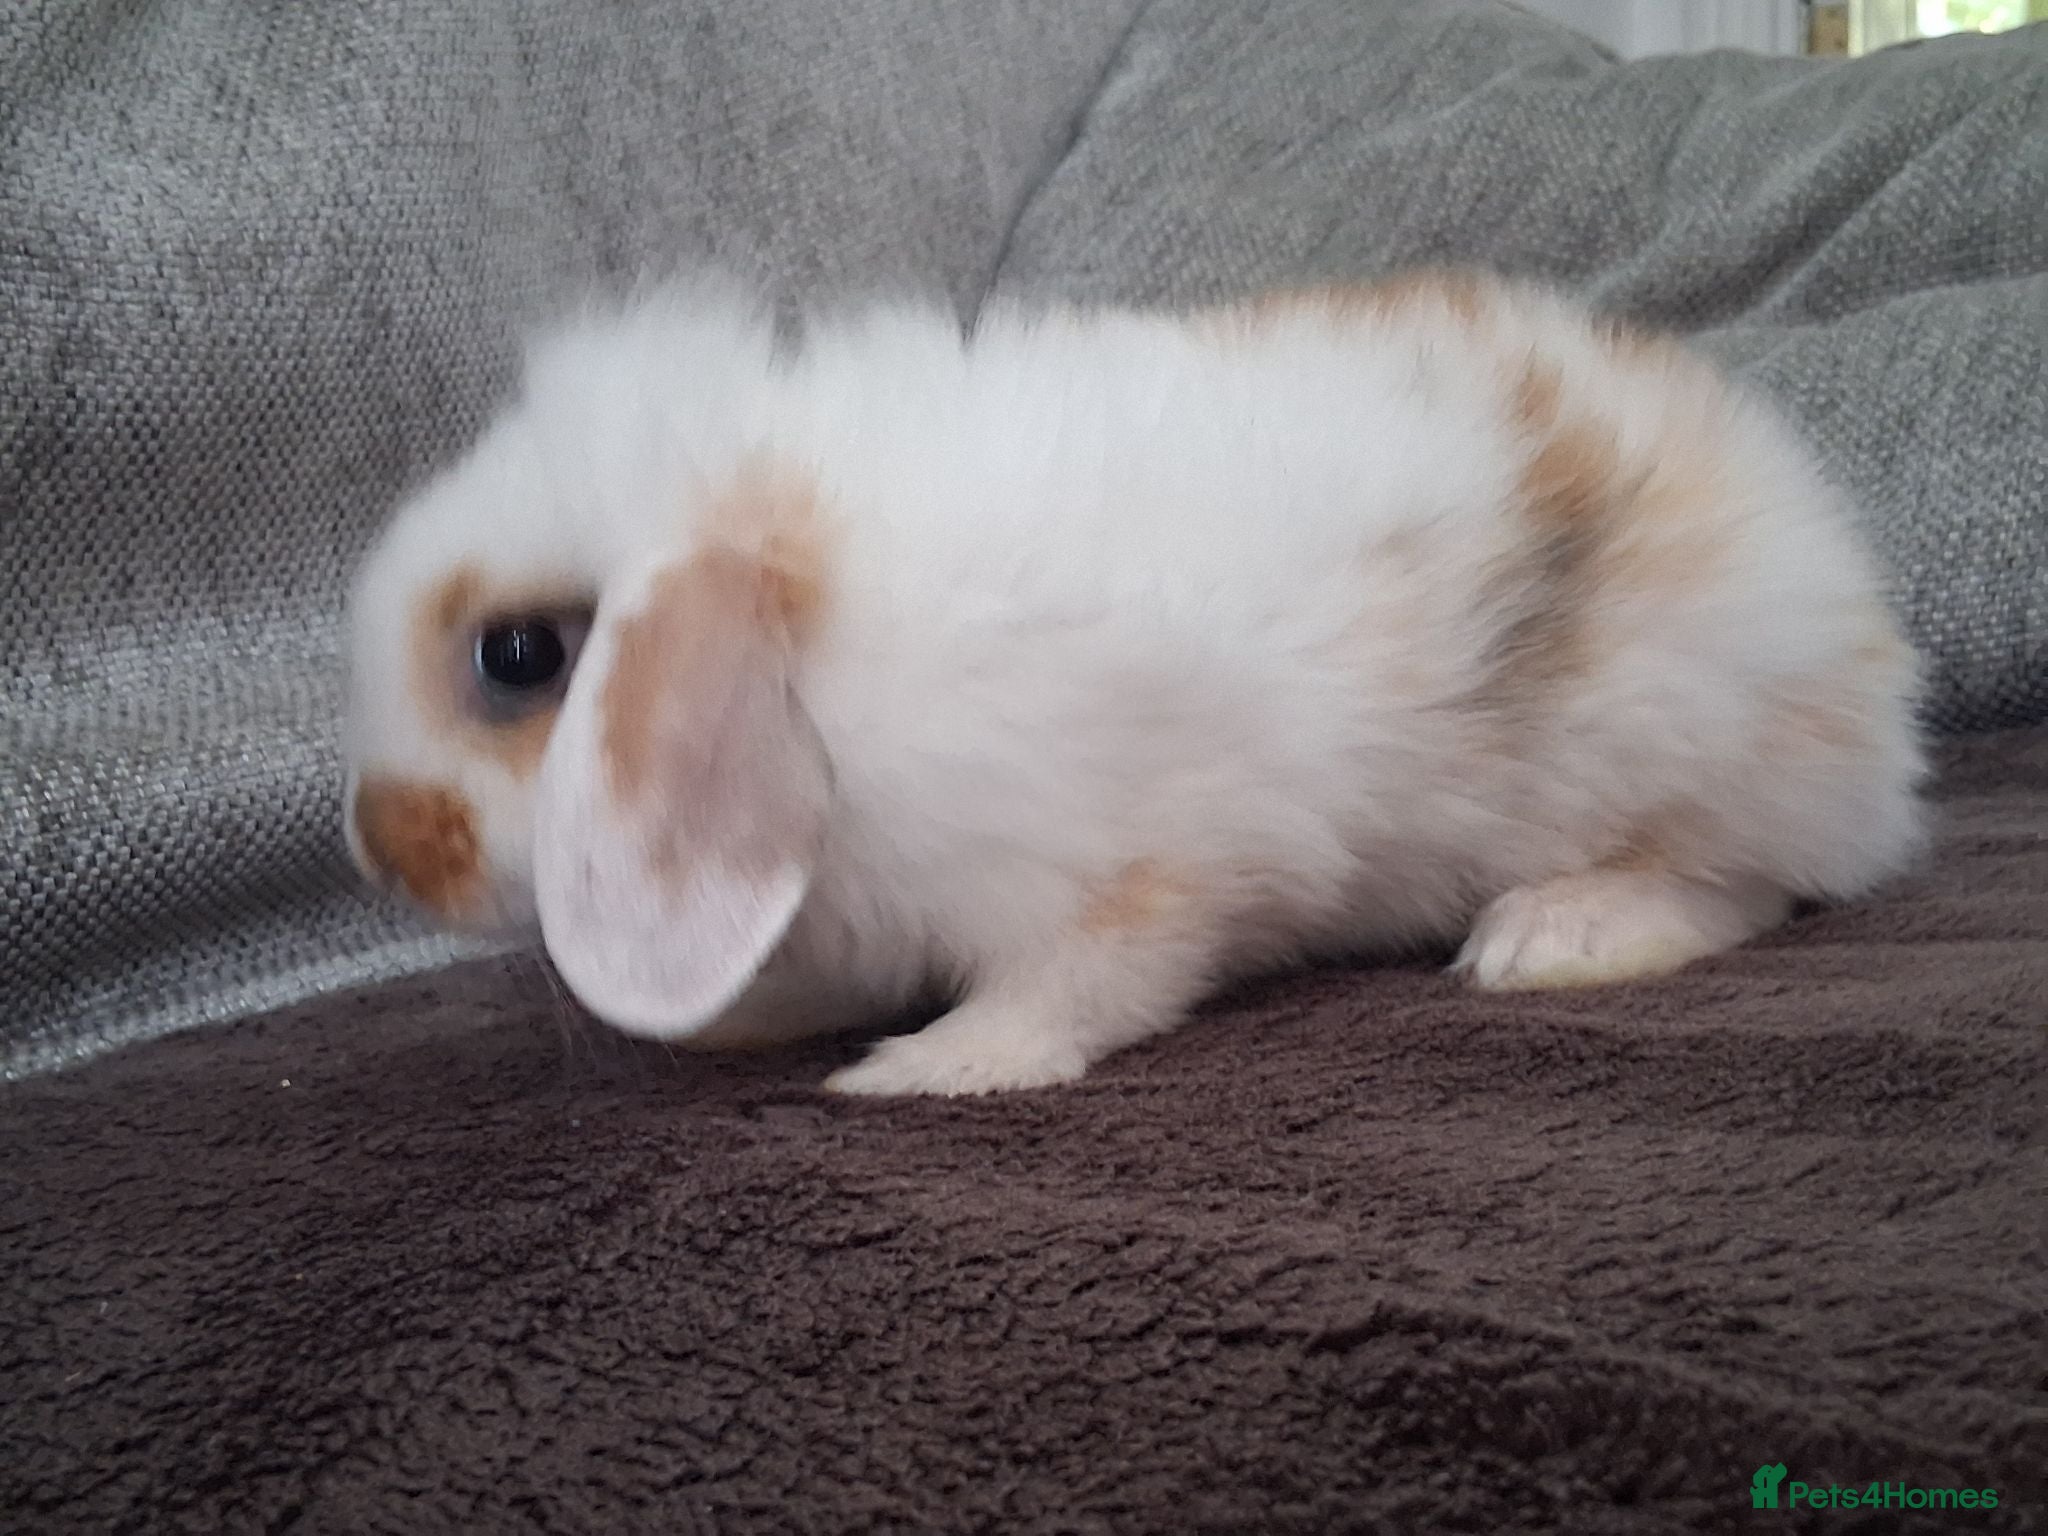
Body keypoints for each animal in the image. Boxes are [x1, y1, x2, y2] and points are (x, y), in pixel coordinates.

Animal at [342, 267, 1927, 1098]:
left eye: (519, 658)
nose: (376, 844)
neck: (820, 627)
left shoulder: (1129, 870)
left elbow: (1078, 988)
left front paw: (922, 1067)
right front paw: (755, 1023)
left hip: (1698, 745)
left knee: (1755, 884)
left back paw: (1557, 936)